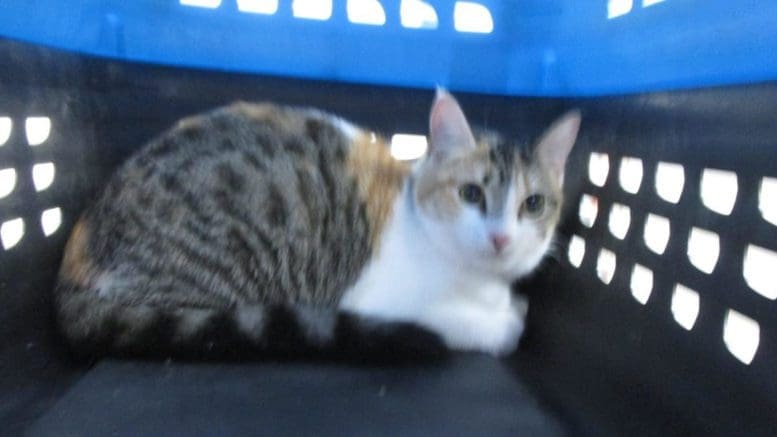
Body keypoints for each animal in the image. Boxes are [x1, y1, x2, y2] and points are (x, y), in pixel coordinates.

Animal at [53, 90, 576, 360]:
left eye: (532, 204)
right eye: (471, 194)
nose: (501, 237)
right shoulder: (378, 301)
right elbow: (465, 324)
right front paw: (505, 323)